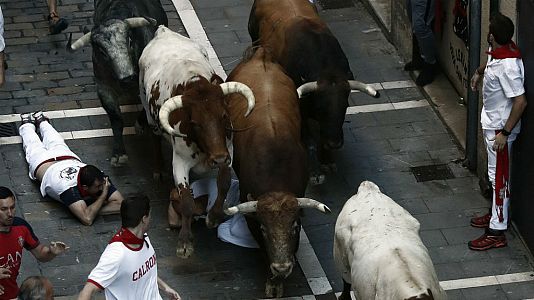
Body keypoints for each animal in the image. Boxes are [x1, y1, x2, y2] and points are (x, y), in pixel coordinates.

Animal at [68, 0, 168, 166]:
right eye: (102, 51)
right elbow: (116, 119)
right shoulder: (104, 88)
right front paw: (119, 153)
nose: (127, 77)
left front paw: (140, 125)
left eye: (130, 41)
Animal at [138, 26, 255, 258]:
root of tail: (163, 31)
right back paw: (157, 170)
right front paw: (185, 242)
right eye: (195, 123)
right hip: (149, 115)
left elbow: (224, 183)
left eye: (224, 116)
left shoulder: (228, 150)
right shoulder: (180, 162)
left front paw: (214, 216)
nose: (217, 159)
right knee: (154, 137)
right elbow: (186, 202)